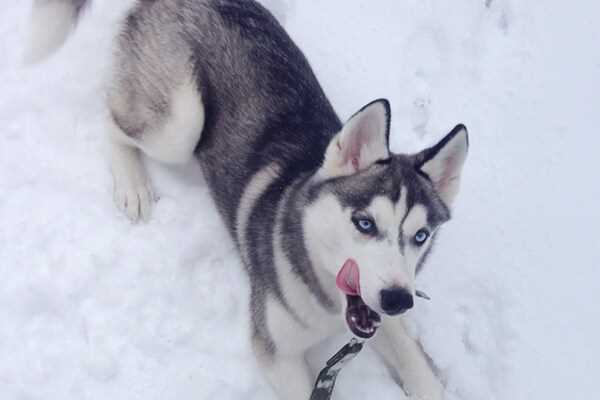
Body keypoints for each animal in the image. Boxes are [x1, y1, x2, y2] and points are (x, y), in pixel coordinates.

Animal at [27, 1, 468, 398]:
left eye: (421, 236)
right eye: (365, 223)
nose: (398, 300)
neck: (326, 301)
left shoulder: (377, 318)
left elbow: (419, 369)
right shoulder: (274, 349)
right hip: (180, 124)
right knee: (113, 120)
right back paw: (132, 185)